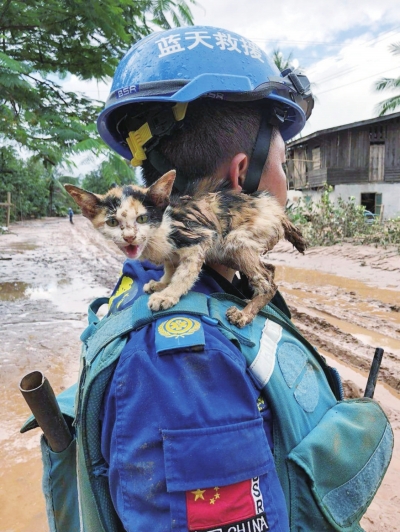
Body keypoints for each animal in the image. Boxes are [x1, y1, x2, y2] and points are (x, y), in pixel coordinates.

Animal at [66, 172, 306, 326]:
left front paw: (168, 295)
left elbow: (183, 275)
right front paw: (161, 283)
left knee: (267, 282)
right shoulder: (171, 253)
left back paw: (244, 315)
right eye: (113, 222)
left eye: (142, 219)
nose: (129, 237)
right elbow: (170, 266)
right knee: (269, 270)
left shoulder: (199, 238)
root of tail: (278, 212)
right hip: (229, 250)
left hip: (233, 239)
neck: (158, 231)